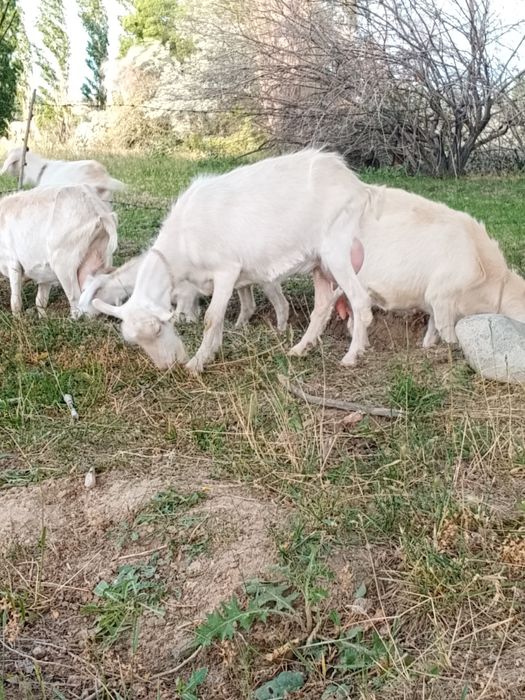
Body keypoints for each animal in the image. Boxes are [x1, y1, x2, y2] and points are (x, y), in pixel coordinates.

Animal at [0, 185, 118, 317]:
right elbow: (40, 300)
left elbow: (16, 301)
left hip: (64, 265)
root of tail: (98, 213)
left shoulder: (12, 262)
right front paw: (43, 318)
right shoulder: (43, 272)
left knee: (76, 301)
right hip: (103, 259)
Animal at [79, 252, 290, 328]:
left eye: (92, 295)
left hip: (268, 281)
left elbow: (181, 316)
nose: (78, 317)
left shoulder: (186, 294)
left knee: (282, 304)